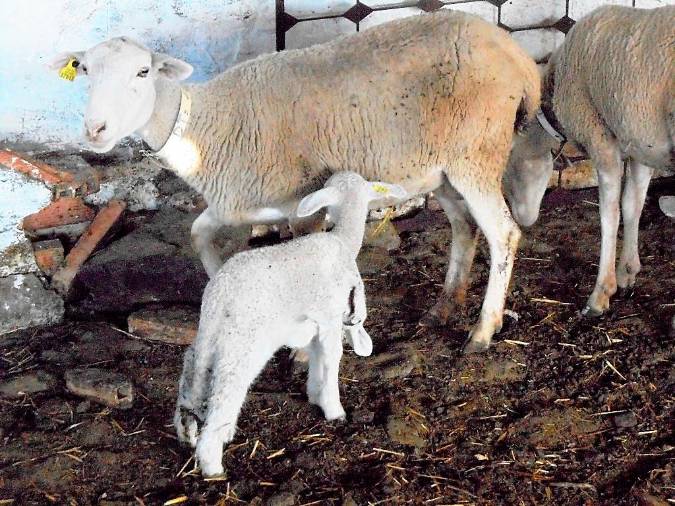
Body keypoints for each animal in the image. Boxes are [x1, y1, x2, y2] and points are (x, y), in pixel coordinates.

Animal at [174, 172, 406, 476]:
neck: (342, 240)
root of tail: (221, 294)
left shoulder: (315, 324)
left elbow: (317, 357)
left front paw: (315, 395)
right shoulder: (330, 316)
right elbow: (332, 357)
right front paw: (335, 410)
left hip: (208, 335)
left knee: (192, 369)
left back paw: (187, 430)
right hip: (244, 343)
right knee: (226, 393)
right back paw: (213, 466)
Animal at [508, 4, 675, 316]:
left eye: (510, 163)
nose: (522, 219)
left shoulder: (600, 138)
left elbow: (609, 215)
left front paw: (601, 294)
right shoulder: (640, 141)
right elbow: (633, 205)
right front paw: (627, 272)